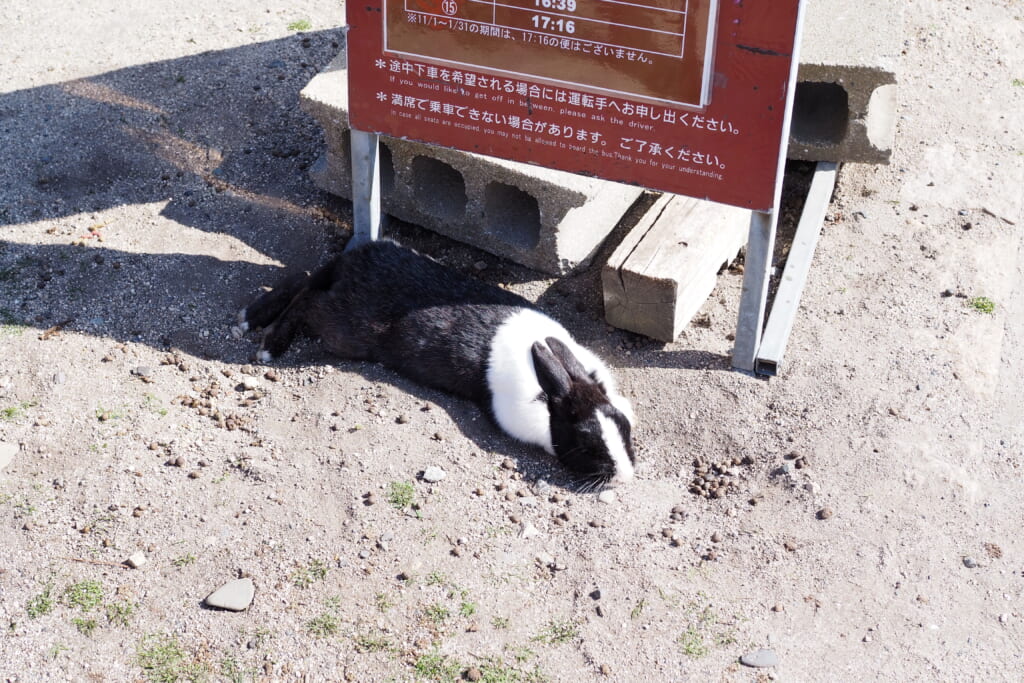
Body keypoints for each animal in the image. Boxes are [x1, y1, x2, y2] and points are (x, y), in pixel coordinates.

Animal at [235, 240, 634, 491]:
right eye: (587, 444)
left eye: (623, 426)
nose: (625, 475)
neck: (553, 390)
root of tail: (354, 259)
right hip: (340, 329)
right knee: (307, 299)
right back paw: (269, 343)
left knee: (303, 279)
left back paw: (250, 316)